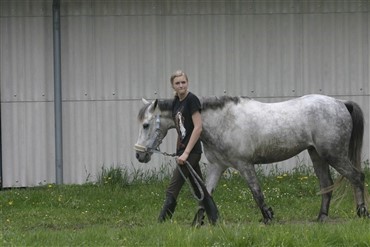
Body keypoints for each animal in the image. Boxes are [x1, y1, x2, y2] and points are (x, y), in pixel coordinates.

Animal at [134, 93, 368, 223]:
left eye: (146, 124)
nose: (139, 155)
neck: (223, 121)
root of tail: (341, 104)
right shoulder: (217, 166)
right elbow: (206, 193)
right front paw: (198, 223)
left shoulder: (244, 165)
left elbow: (257, 192)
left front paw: (268, 218)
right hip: (317, 154)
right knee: (326, 184)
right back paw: (321, 217)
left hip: (334, 154)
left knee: (357, 177)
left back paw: (362, 213)